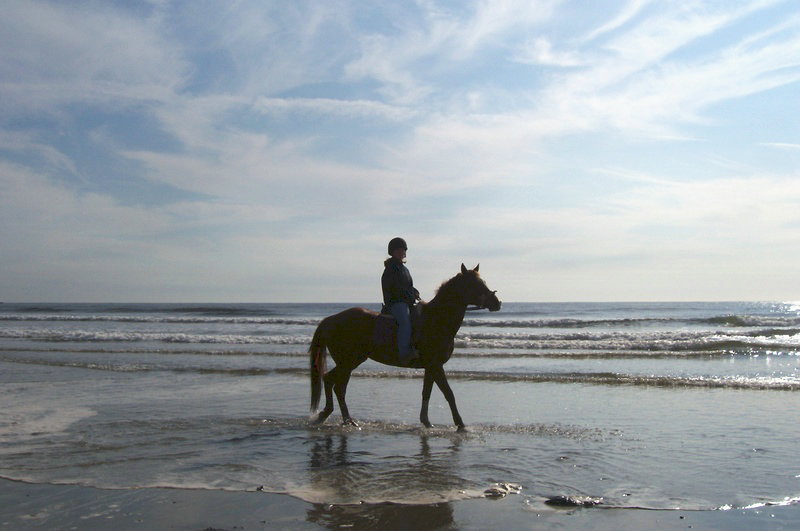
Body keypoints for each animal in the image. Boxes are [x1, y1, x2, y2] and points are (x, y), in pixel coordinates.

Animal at [308, 264, 500, 434]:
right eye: (474, 284)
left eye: (483, 282)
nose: (497, 303)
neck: (437, 319)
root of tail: (331, 320)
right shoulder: (436, 366)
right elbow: (448, 393)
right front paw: (460, 424)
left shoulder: (431, 367)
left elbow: (427, 392)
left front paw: (426, 422)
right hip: (347, 362)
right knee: (333, 383)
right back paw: (334, 417)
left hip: (350, 362)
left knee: (335, 384)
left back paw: (342, 419)